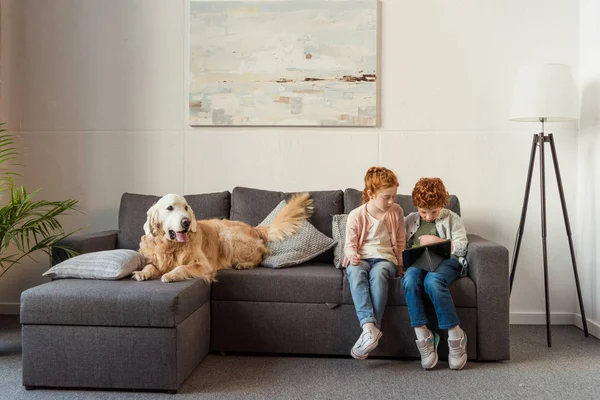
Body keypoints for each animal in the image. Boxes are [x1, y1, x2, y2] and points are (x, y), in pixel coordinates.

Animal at [132, 192, 314, 282]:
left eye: (185, 207)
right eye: (170, 208)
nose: (186, 222)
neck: (171, 246)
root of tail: (253, 228)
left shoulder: (204, 265)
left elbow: (182, 267)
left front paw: (170, 275)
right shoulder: (157, 260)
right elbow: (150, 266)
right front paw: (142, 272)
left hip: (226, 235)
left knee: (260, 256)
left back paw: (243, 264)